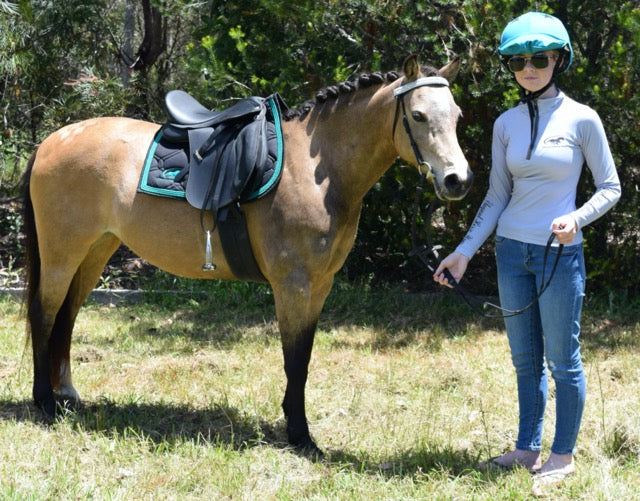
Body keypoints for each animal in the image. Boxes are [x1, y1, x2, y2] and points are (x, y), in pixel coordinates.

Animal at [21, 53, 470, 454]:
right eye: (418, 116)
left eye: (457, 115)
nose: (458, 180)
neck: (316, 173)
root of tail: (51, 142)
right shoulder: (293, 285)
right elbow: (294, 360)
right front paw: (300, 436)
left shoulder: (320, 286)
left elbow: (304, 357)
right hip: (62, 254)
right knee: (45, 313)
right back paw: (45, 401)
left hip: (95, 251)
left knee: (67, 316)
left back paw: (66, 393)